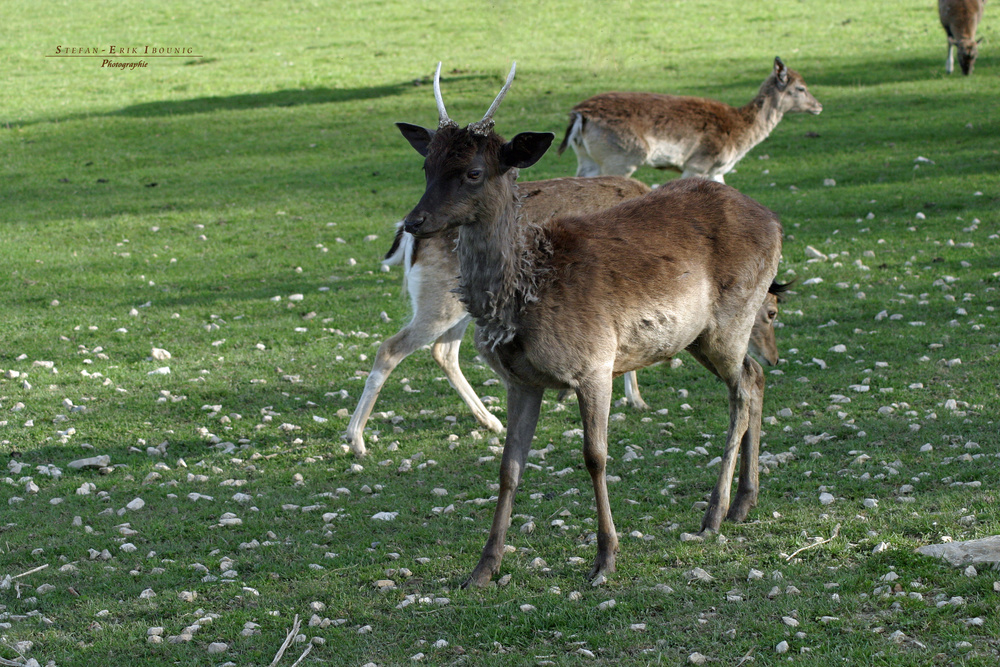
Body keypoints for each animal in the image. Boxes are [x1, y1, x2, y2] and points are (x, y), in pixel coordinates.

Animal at [350, 175, 648, 456]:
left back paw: (491, 421)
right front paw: (636, 400)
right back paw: (356, 440)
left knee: (443, 352)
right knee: (391, 348)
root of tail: (408, 232)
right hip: (440, 302)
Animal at [396, 61, 780, 584]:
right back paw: (744, 503)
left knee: (742, 391)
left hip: (732, 319)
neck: (527, 292)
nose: (414, 222)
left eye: (473, 172)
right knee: (755, 377)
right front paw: (483, 568)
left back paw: (714, 514)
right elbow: (508, 467)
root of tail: (776, 222)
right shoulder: (521, 380)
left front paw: (605, 559)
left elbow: (595, 458)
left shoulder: (595, 363)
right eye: (426, 166)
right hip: (700, 336)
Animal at [556, 56, 820, 183]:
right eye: (800, 88)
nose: (818, 106)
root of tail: (579, 114)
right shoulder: (698, 164)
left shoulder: (716, 170)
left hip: (587, 158)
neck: (741, 134)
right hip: (621, 158)